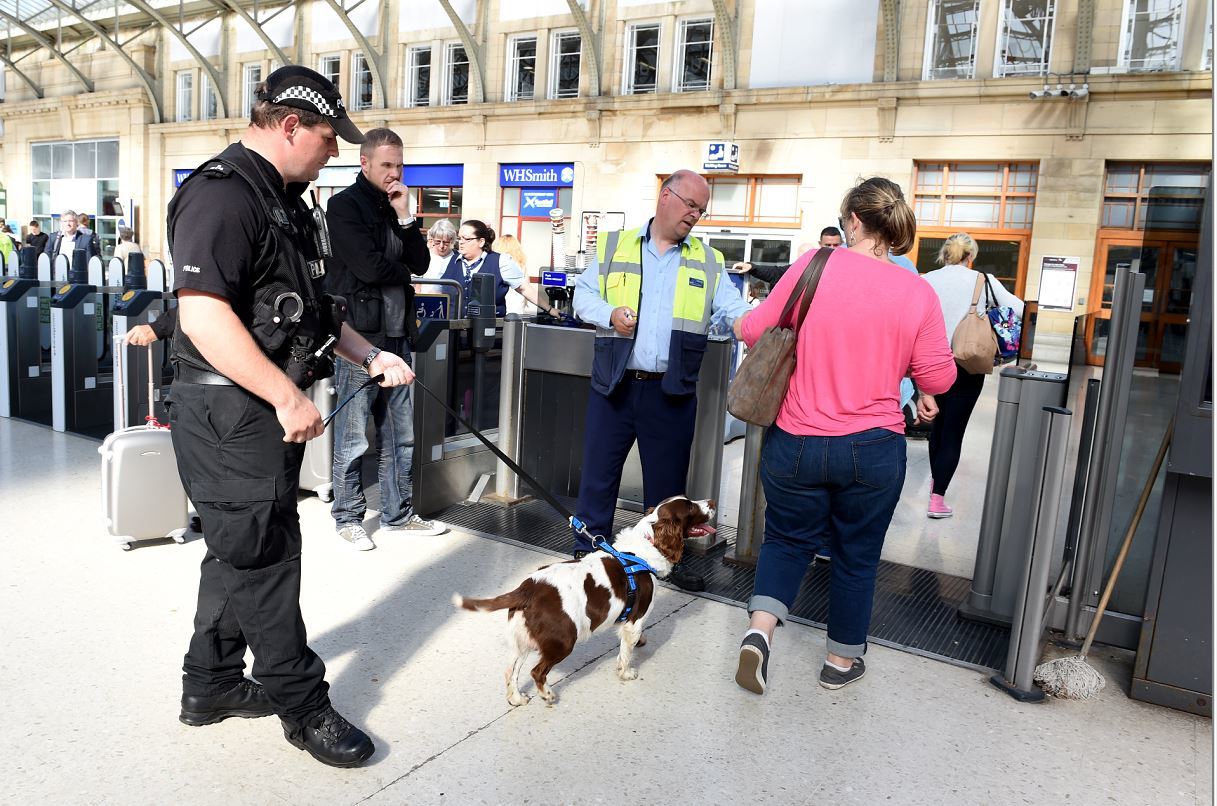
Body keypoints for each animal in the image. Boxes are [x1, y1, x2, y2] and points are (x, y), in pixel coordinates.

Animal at [452, 496, 710, 711]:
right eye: (690, 507)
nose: (712, 502)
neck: (643, 549)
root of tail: (528, 588)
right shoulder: (634, 620)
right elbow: (626, 652)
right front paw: (626, 673)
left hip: (522, 639)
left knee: (511, 671)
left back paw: (516, 698)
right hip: (564, 640)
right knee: (536, 672)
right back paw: (547, 695)